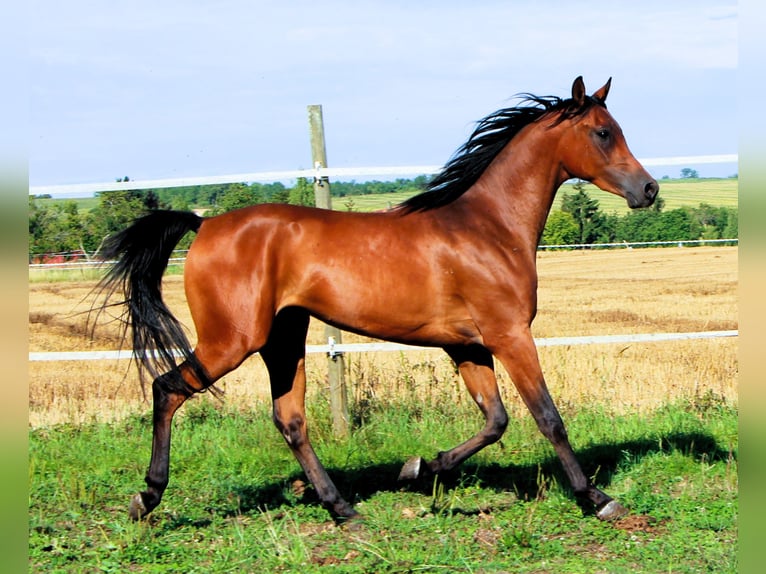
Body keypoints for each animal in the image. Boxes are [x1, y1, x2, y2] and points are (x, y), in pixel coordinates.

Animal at [95, 76, 658, 524]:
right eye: (603, 132)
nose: (649, 189)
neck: (488, 228)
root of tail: (205, 222)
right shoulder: (509, 336)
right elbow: (548, 418)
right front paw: (597, 498)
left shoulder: (468, 346)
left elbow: (495, 420)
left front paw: (420, 469)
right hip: (232, 340)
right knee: (168, 389)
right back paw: (147, 498)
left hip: (283, 338)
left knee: (290, 420)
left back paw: (342, 508)